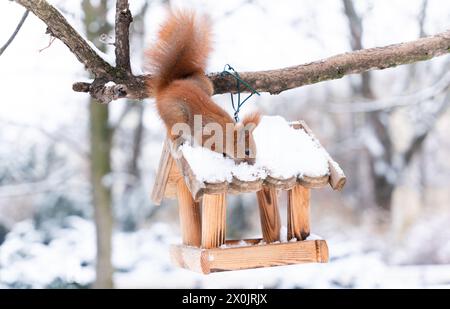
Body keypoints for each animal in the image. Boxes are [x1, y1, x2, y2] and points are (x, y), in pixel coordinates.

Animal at [147, 10, 260, 164]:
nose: (252, 163)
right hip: (177, 114)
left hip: (205, 86)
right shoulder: (208, 136)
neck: (227, 135)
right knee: (173, 133)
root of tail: (168, 86)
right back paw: (177, 146)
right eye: (247, 151)